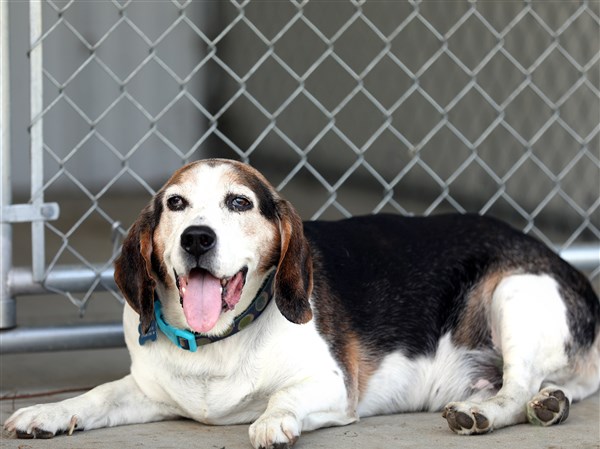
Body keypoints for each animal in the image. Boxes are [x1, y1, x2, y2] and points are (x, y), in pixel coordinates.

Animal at [5, 159, 600, 446]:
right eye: (175, 204)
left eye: (238, 203)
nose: (196, 237)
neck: (218, 342)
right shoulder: (151, 392)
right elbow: (97, 396)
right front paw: (45, 414)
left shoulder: (333, 385)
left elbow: (282, 397)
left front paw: (274, 421)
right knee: (548, 387)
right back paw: (550, 402)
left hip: (515, 290)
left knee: (516, 387)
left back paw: (486, 412)